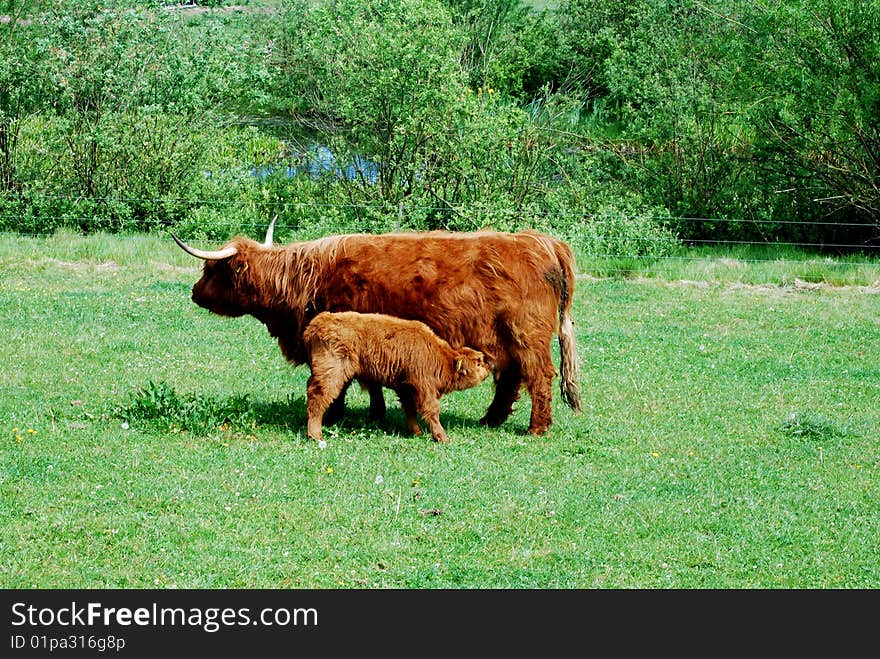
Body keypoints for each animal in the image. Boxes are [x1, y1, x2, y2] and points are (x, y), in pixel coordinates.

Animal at [304, 312, 496, 446]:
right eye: (478, 362)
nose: (489, 366)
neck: (441, 357)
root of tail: (319, 321)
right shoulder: (424, 387)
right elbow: (431, 411)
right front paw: (442, 437)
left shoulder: (407, 388)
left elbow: (410, 409)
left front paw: (416, 432)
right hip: (331, 374)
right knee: (318, 398)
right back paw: (315, 435)